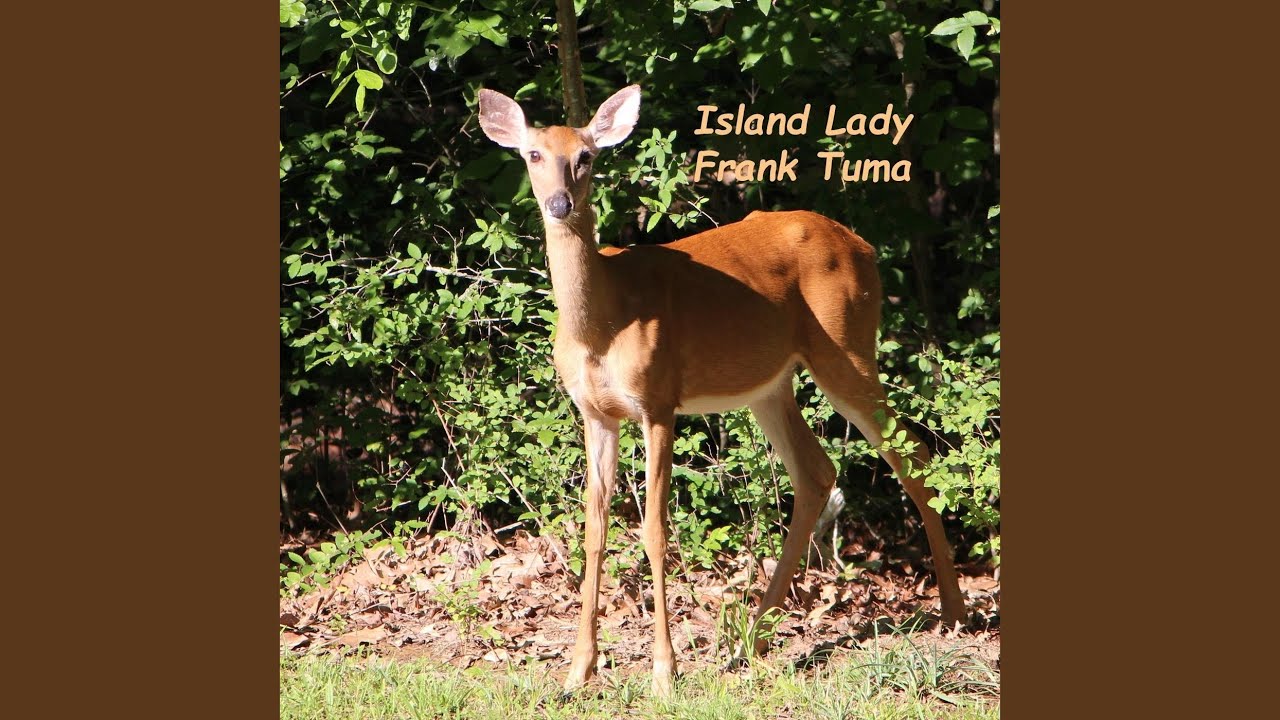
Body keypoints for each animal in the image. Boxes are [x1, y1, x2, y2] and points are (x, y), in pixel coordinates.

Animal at [476, 84, 966, 698]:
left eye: (586, 156)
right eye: (534, 155)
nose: (560, 203)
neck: (603, 323)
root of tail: (865, 246)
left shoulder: (659, 399)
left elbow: (655, 530)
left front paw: (664, 672)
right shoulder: (595, 412)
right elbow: (593, 530)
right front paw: (577, 671)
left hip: (847, 345)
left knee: (912, 455)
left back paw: (953, 612)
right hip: (771, 384)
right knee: (817, 471)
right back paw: (749, 637)